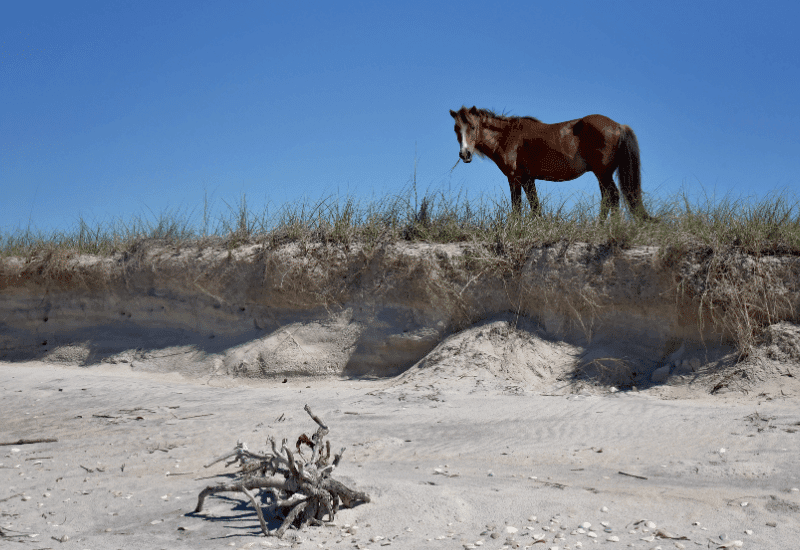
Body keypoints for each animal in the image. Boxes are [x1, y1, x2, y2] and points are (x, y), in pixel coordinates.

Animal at [450, 106, 656, 221]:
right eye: (456, 129)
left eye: (473, 127)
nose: (464, 154)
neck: (507, 137)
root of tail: (619, 126)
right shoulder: (528, 179)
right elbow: (535, 207)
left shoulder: (514, 178)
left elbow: (517, 208)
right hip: (602, 175)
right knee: (607, 199)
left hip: (603, 174)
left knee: (612, 197)